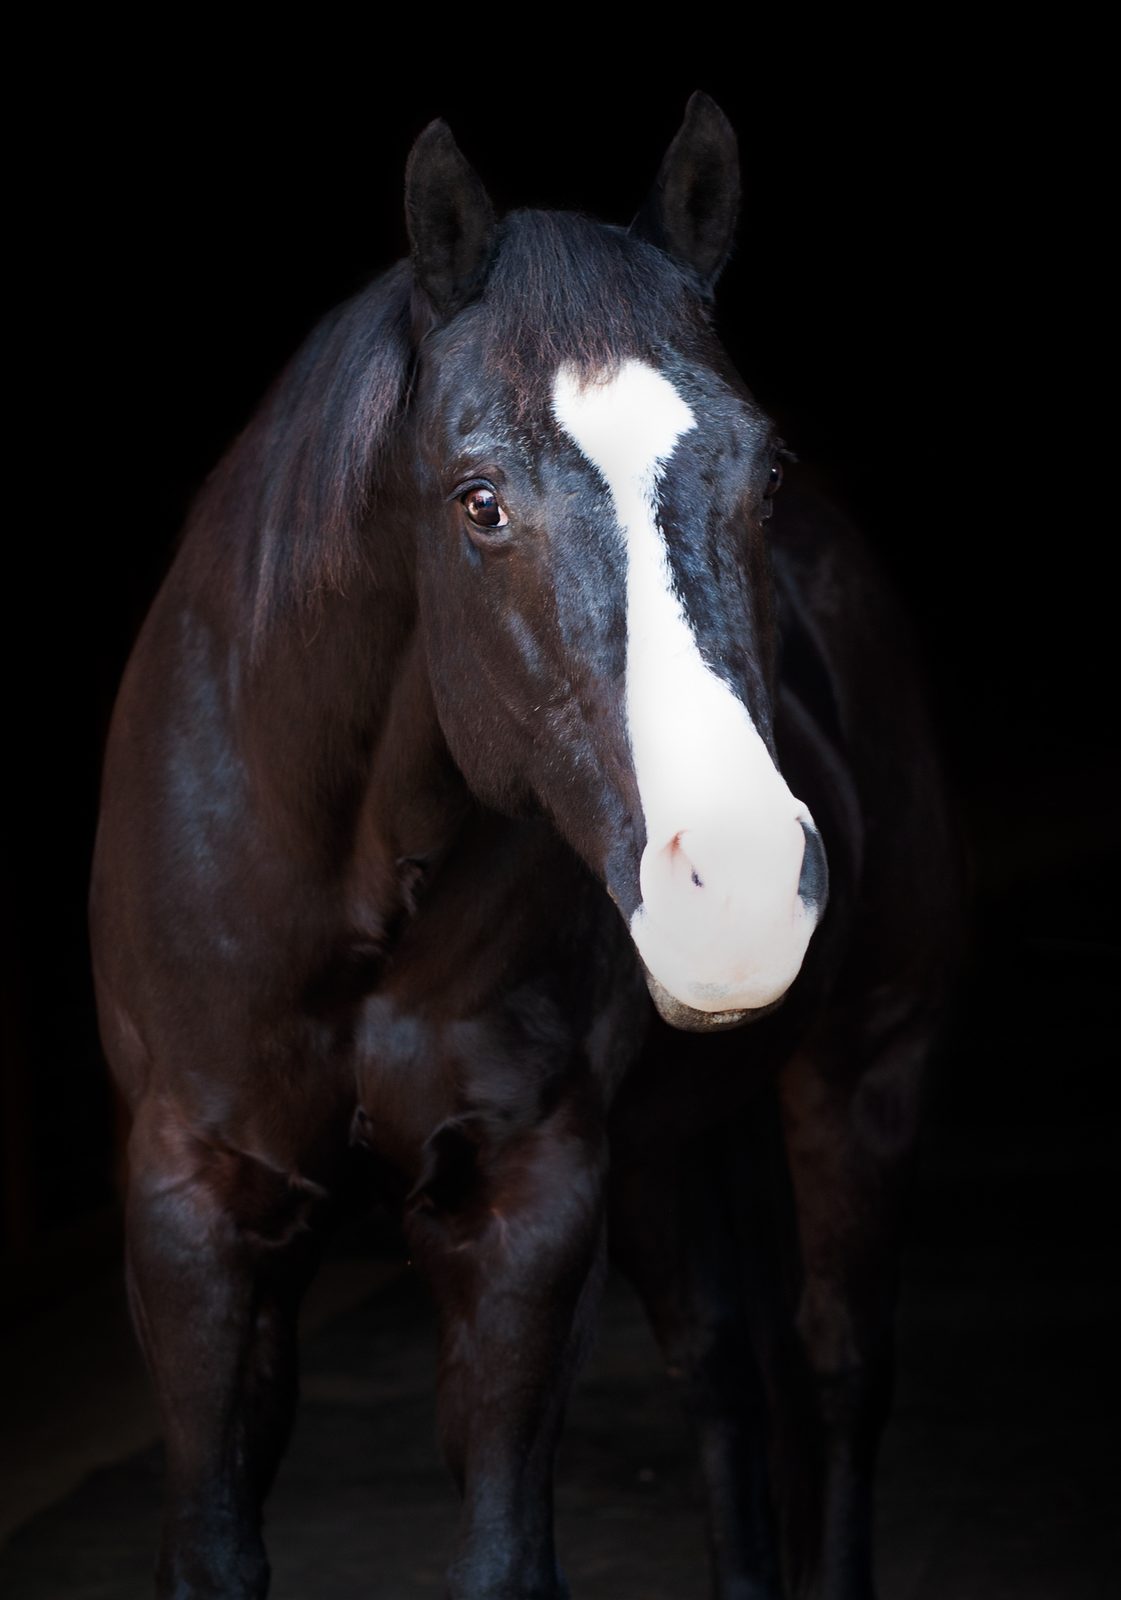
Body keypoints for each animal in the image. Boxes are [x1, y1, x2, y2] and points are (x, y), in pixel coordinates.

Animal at [90, 93, 960, 1599]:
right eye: (479, 499)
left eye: (765, 474)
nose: (737, 895)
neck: (343, 883)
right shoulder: (195, 1206)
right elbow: (211, 1544)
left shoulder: (527, 1206)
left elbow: (506, 1555)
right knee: (722, 1371)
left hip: (865, 1067)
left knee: (841, 1372)